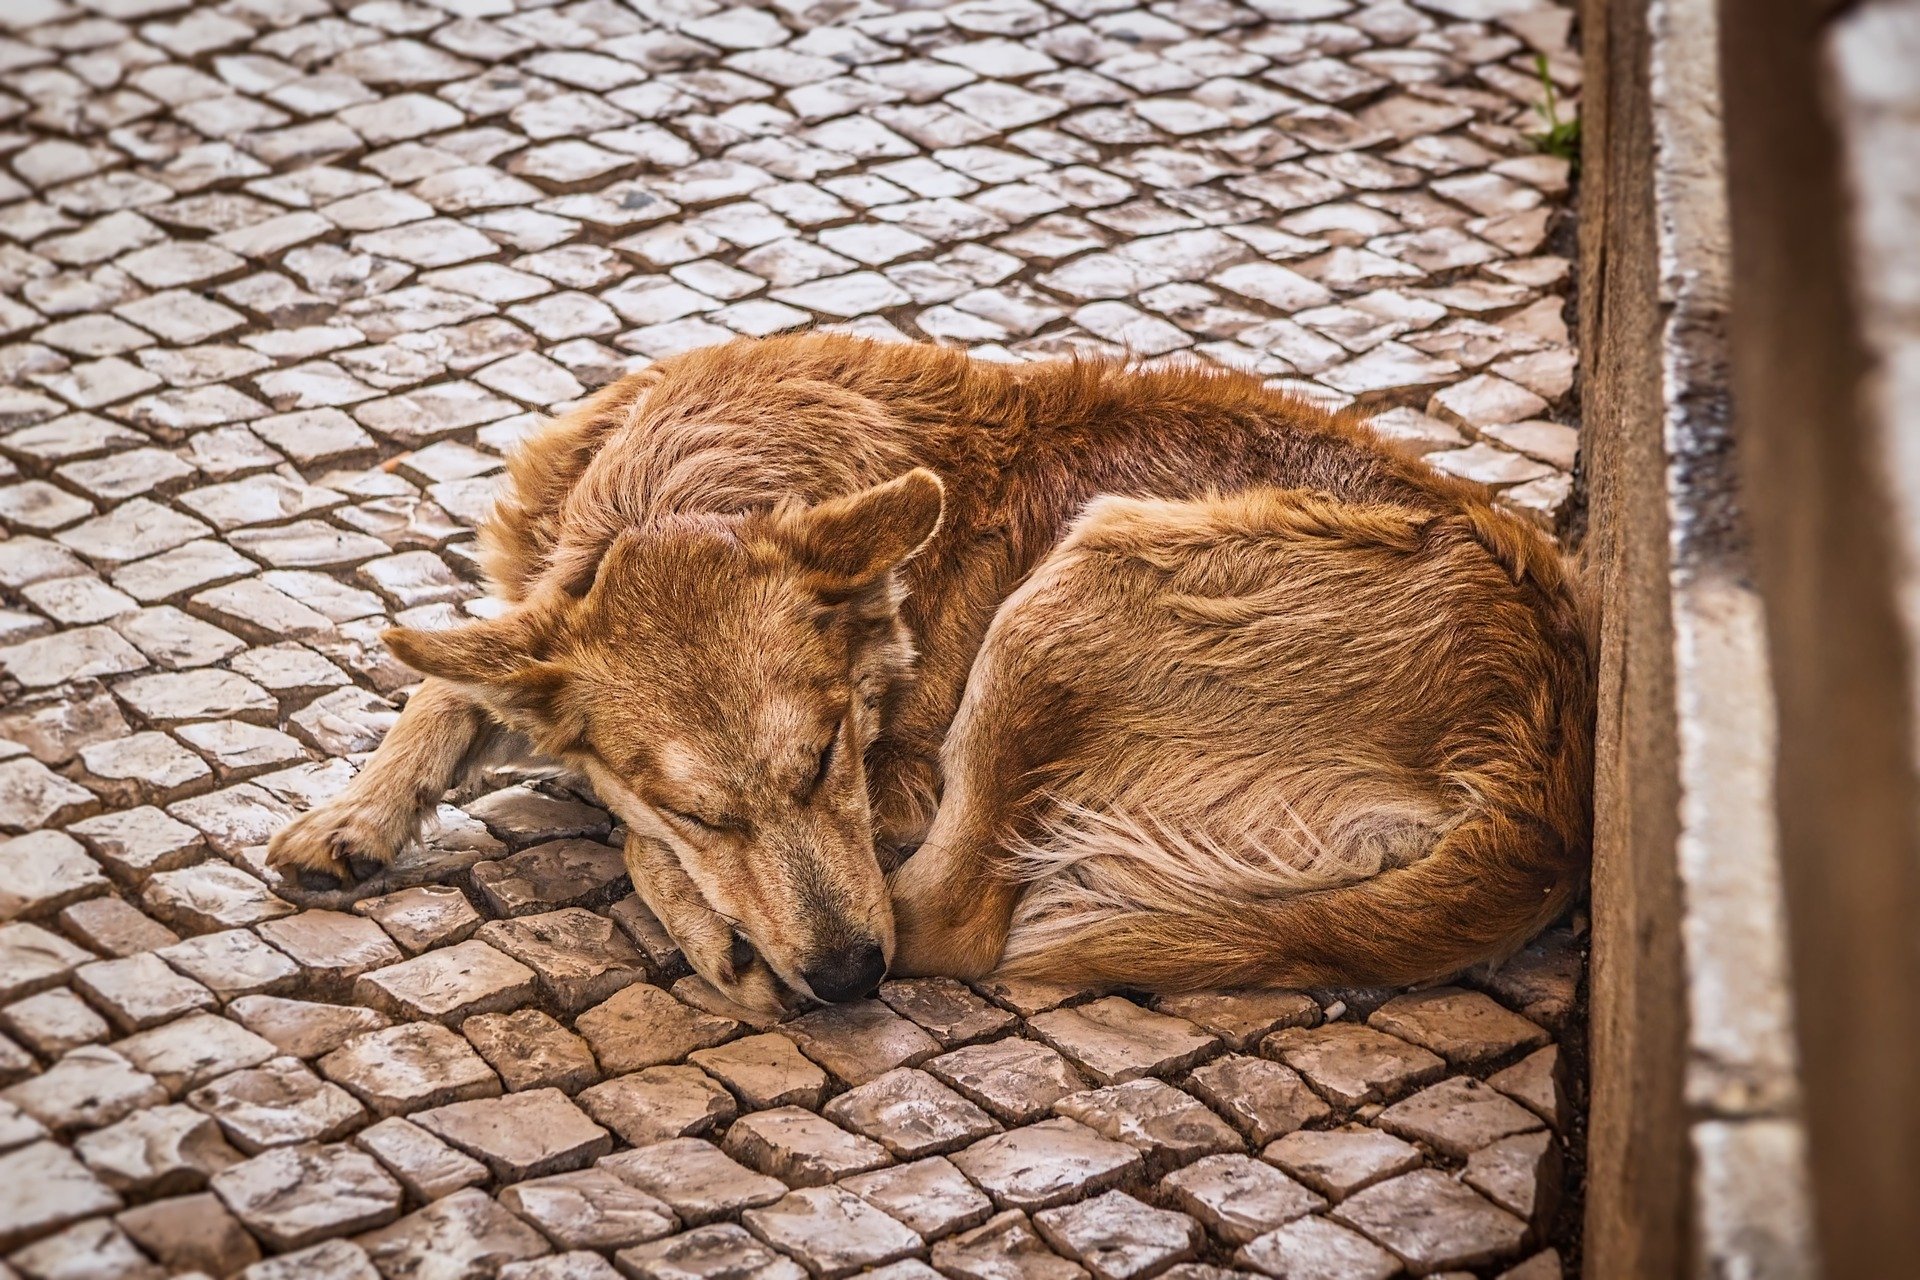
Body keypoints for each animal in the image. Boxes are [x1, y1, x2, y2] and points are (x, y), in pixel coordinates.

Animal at [266, 335, 1589, 1013]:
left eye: (829, 758)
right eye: (711, 807)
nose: (850, 979)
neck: (695, 480)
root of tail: (1546, 791)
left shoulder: (897, 783)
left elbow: (616, 811)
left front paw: (704, 911)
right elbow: (456, 672)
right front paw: (354, 814)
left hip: (1074, 589)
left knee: (947, 919)